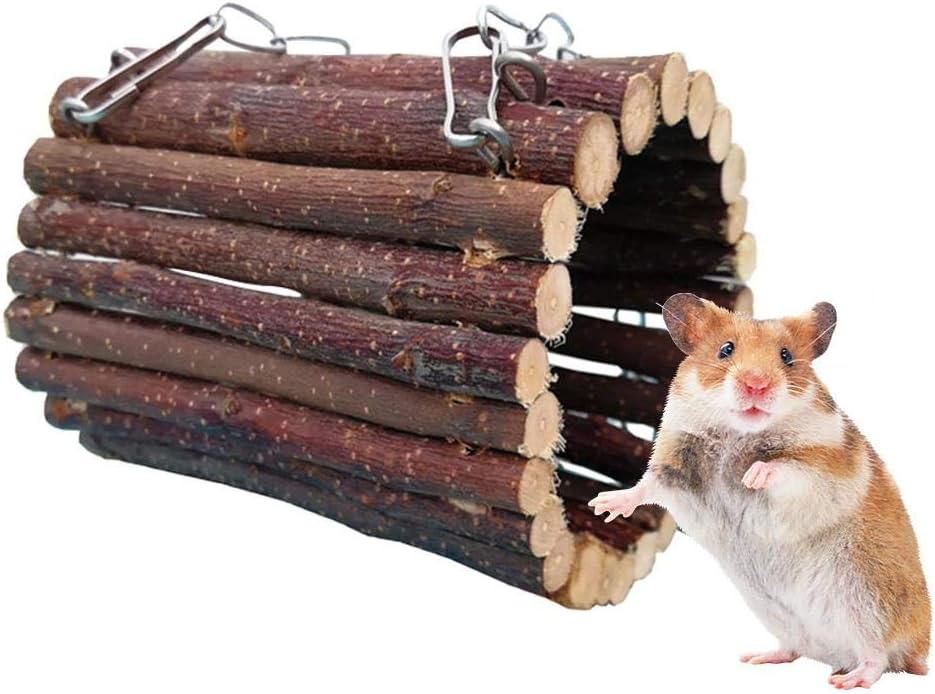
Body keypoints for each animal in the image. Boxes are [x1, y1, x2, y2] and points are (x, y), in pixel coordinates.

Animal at [589, 293, 929, 689]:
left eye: (786, 356)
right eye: (725, 349)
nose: (756, 385)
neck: (738, 432)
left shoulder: (823, 469)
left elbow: (786, 468)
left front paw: (752, 476)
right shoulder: (675, 466)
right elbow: (646, 486)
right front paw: (603, 505)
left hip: (868, 601)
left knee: (878, 658)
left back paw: (848, 680)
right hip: (779, 614)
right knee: (797, 649)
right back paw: (758, 658)